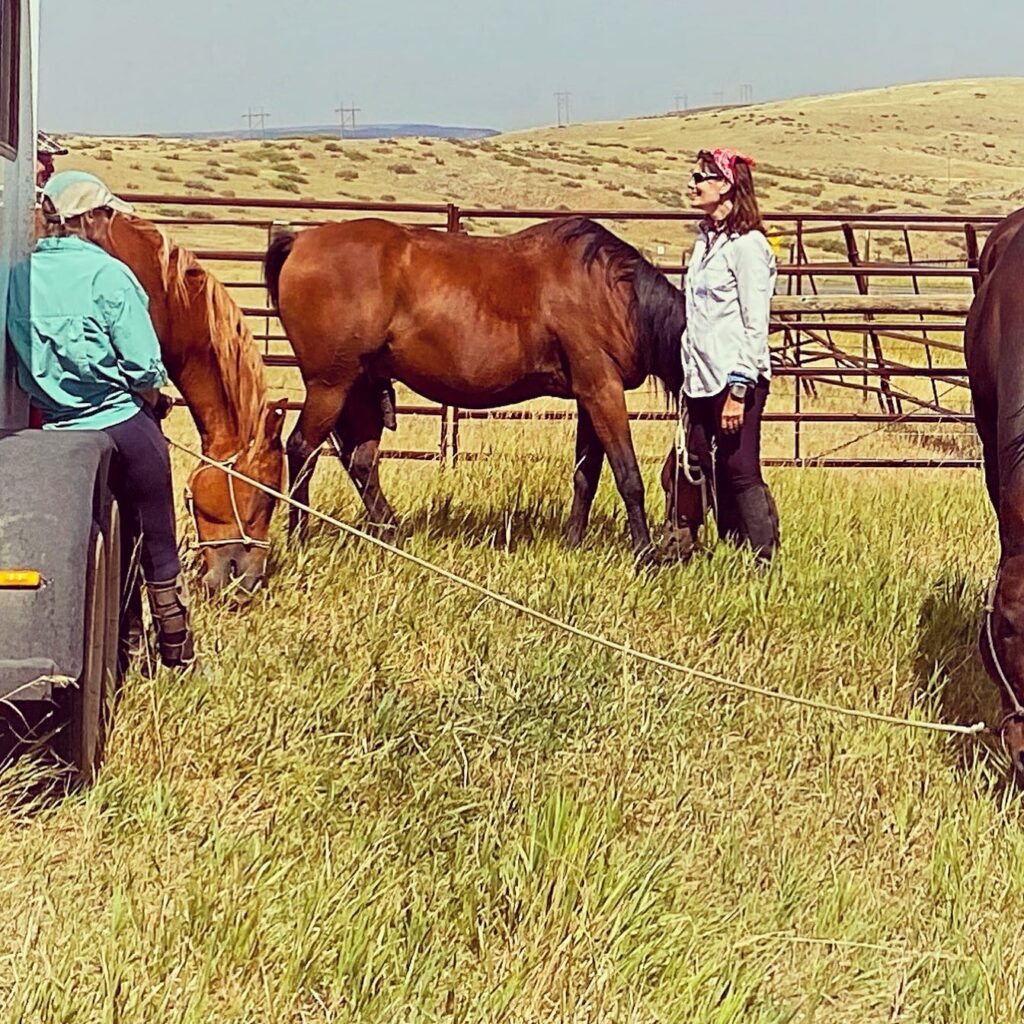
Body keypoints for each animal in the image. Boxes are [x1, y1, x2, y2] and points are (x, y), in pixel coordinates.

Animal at [263, 216, 685, 561]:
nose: (679, 545)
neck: (612, 292)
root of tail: (299, 241)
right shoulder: (603, 389)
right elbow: (627, 475)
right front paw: (645, 554)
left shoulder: (590, 395)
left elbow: (587, 476)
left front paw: (573, 544)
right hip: (330, 385)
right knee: (302, 449)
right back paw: (300, 537)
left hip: (361, 387)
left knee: (361, 461)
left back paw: (392, 535)